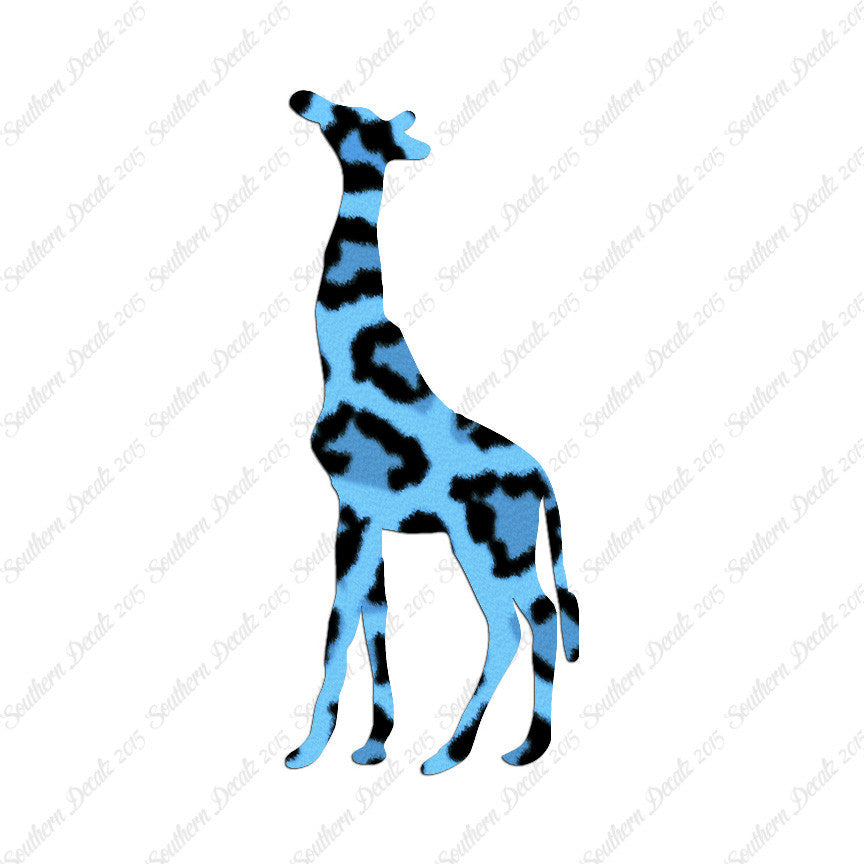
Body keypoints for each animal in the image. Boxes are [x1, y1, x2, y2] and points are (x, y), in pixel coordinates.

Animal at [285, 90, 580, 775]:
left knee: (522, 619)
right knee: (534, 616)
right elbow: (375, 616)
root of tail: (544, 481)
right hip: (503, 548)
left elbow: (338, 623)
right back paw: (498, 746)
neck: (343, 355)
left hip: (489, 546)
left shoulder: (353, 509)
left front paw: (307, 750)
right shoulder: (367, 514)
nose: (300, 97)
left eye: (348, 116)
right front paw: (372, 743)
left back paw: (473, 750)